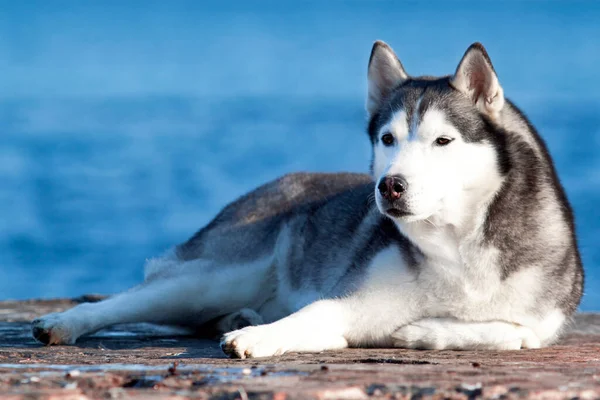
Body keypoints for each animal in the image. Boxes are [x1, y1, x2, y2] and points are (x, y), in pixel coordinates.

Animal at [31, 42, 580, 358]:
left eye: (443, 141)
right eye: (388, 139)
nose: (390, 186)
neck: (459, 249)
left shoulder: (544, 317)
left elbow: (517, 332)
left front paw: (424, 332)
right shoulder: (350, 300)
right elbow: (316, 313)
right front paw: (257, 340)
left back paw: (242, 319)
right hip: (215, 274)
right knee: (127, 300)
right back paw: (63, 323)